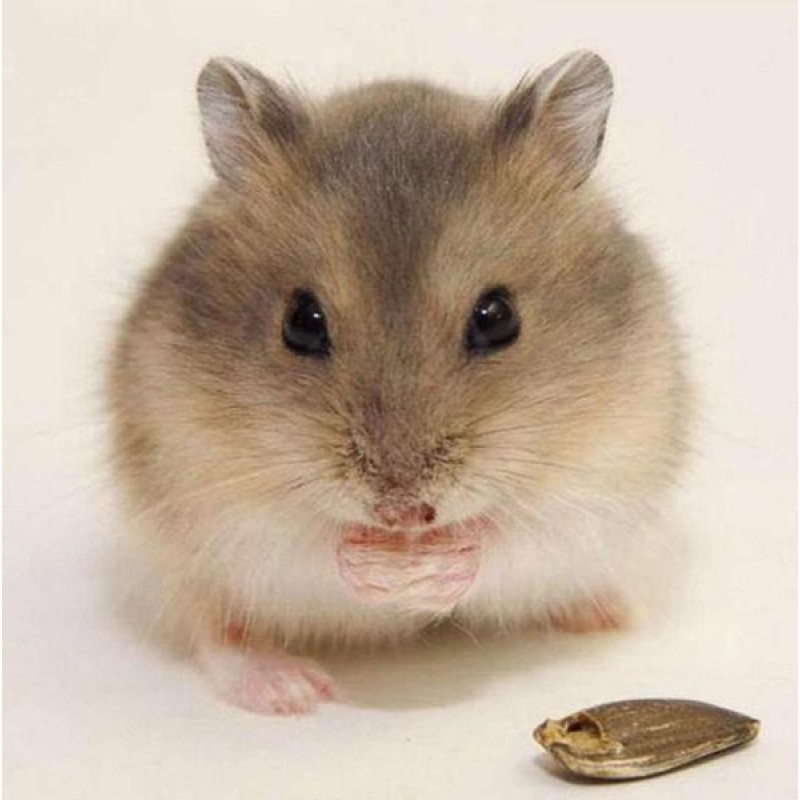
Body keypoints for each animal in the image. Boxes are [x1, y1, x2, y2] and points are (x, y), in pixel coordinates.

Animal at [108, 51, 689, 715]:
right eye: (301, 323)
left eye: (497, 317)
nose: (403, 514)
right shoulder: (214, 498)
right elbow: (312, 541)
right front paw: (387, 571)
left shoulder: (599, 481)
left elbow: (509, 535)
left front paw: (426, 570)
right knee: (217, 629)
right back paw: (290, 691)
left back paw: (607, 613)